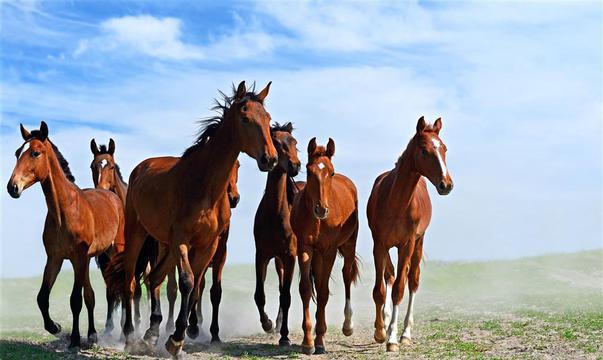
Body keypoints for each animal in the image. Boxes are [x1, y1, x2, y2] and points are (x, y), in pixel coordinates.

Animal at [7, 121, 125, 348]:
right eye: (17, 152)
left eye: (35, 152)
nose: (12, 187)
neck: (65, 211)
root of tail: (112, 195)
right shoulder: (55, 258)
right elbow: (42, 297)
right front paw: (55, 327)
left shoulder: (77, 257)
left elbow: (75, 300)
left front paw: (75, 339)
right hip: (92, 259)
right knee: (92, 294)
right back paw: (94, 334)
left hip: (114, 252)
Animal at [105, 80, 278, 356]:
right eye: (245, 118)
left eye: (268, 118)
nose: (269, 159)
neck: (205, 187)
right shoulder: (182, 240)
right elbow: (187, 282)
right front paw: (176, 339)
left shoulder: (208, 245)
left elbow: (196, 284)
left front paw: (178, 335)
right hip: (138, 236)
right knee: (130, 281)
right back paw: (131, 335)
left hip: (164, 245)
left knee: (154, 279)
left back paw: (152, 333)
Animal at [292, 138, 360, 354]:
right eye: (309, 171)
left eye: (330, 172)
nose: (321, 209)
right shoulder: (305, 248)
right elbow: (306, 289)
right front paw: (308, 342)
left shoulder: (329, 250)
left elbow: (322, 293)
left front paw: (320, 341)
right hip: (317, 255)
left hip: (348, 245)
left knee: (347, 275)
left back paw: (348, 325)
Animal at [366, 117, 456, 352]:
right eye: (424, 150)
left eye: (444, 149)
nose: (446, 185)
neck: (396, 202)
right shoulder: (379, 243)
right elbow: (380, 289)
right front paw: (380, 331)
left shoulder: (407, 244)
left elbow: (399, 288)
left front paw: (393, 339)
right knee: (390, 276)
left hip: (418, 242)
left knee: (412, 281)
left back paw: (405, 332)